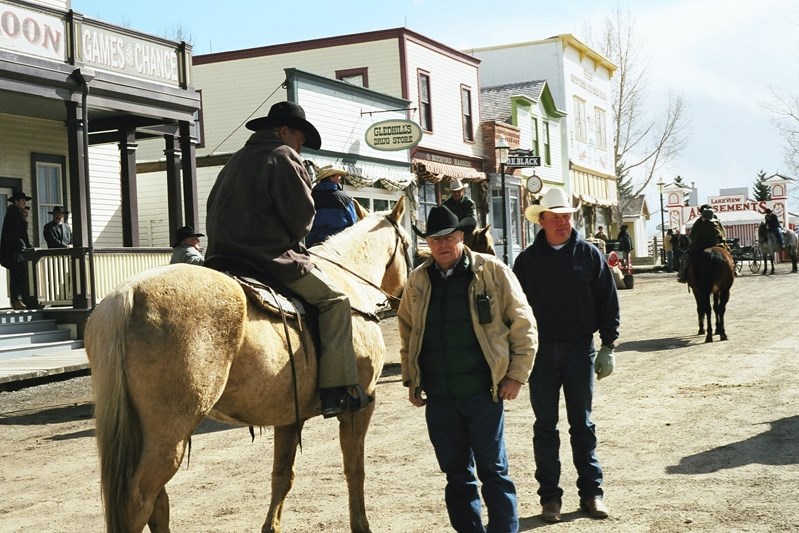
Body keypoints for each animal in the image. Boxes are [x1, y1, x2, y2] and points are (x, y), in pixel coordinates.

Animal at [86, 200, 412, 532]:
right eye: (409, 244)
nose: (404, 295)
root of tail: (127, 295)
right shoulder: (361, 405)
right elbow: (354, 468)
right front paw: (361, 524)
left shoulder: (289, 417)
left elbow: (282, 476)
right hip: (167, 436)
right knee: (140, 500)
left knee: (158, 502)